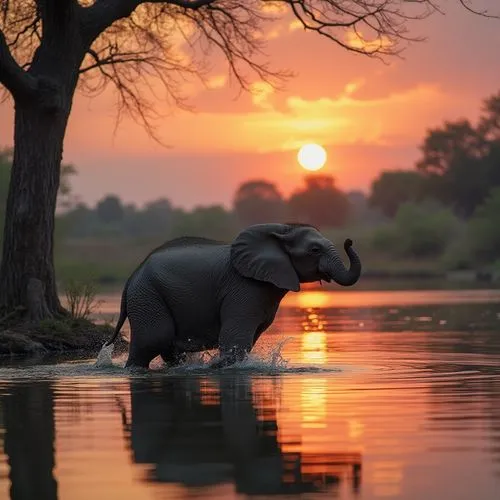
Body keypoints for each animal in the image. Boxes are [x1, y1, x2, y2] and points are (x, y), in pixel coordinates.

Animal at [103, 222, 362, 368]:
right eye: (315, 250)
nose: (349, 240)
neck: (282, 231)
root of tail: (132, 277)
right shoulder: (244, 287)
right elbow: (235, 338)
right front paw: (220, 367)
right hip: (147, 295)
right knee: (154, 339)